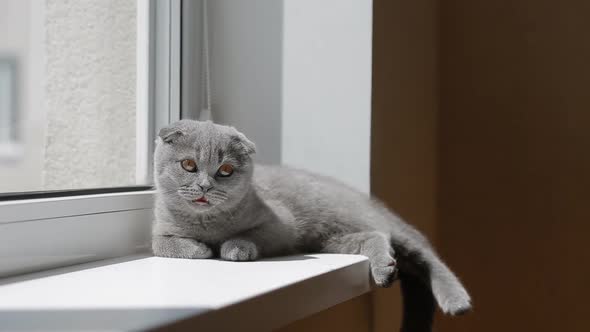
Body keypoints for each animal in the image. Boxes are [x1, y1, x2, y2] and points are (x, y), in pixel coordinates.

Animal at [153, 120, 472, 332]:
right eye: (189, 165)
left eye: (226, 171)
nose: (205, 186)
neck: (207, 223)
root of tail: (366, 199)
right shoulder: (161, 228)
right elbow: (162, 244)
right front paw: (199, 248)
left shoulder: (281, 225)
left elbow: (250, 235)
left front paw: (234, 248)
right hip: (334, 239)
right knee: (377, 238)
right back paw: (385, 269)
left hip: (383, 229)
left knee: (427, 256)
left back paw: (457, 301)